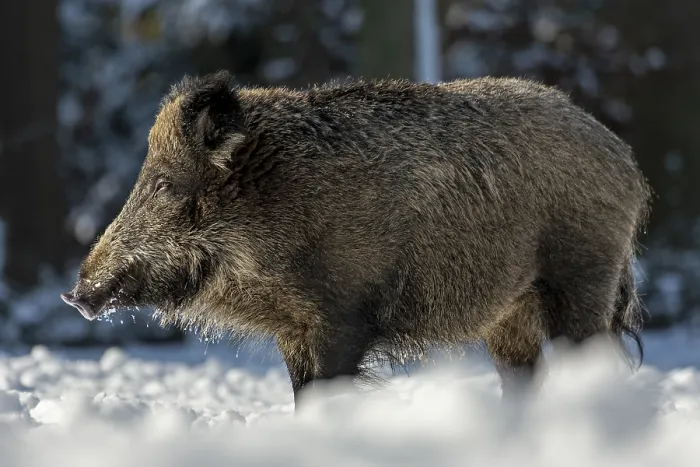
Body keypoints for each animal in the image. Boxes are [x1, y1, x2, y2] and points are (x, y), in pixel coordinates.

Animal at [62, 70, 651, 405]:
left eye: (164, 183)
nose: (75, 295)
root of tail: (624, 159)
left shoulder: (342, 316)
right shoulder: (295, 330)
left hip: (583, 275)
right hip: (511, 314)